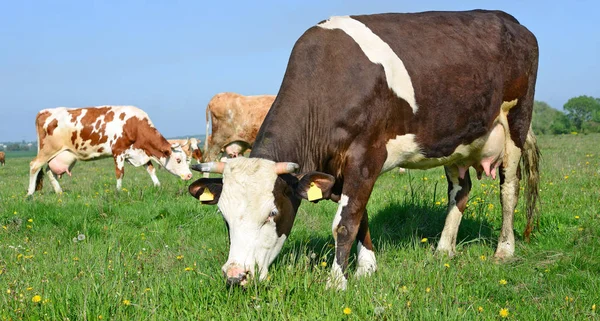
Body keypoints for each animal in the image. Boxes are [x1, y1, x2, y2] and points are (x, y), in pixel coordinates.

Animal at [27, 105, 192, 195]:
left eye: (187, 159)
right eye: (178, 160)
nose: (190, 175)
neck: (133, 125)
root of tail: (45, 111)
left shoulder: (140, 152)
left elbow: (151, 170)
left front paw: (158, 187)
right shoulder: (118, 151)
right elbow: (120, 173)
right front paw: (118, 192)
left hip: (60, 154)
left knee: (49, 170)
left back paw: (59, 192)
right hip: (48, 149)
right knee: (34, 166)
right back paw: (30, 194)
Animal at [188, 11, 540, 288]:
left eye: (272, 214)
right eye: (224, 217)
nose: (235, 276)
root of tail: (512, 21)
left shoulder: (366, 155)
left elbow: (345, 222)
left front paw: (336, 282)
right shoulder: (341, 169)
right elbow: (360, 215)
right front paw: (367, 268)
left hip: (516, 122)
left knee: (509, 190)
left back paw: (504, 250)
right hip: (456, 141)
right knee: (460, 191)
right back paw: (444, 249)